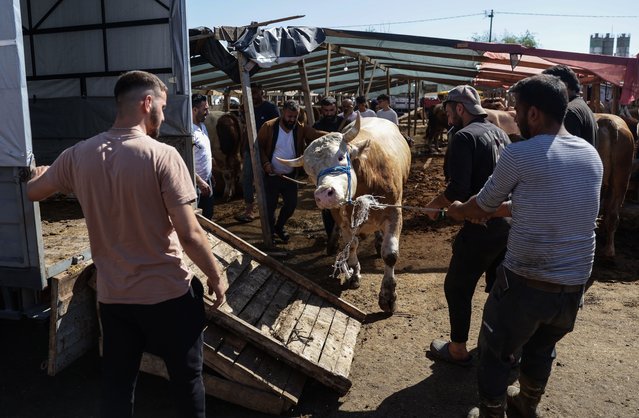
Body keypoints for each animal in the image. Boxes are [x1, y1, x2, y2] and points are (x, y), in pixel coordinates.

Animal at [278, 116, 410, 312]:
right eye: (309, 171)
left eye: (340, 157)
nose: (323, 194)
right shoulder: (342, 219)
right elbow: (352, 246)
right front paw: (354, 274)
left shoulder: (394, 212)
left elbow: (390, 254)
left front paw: (388, 296)